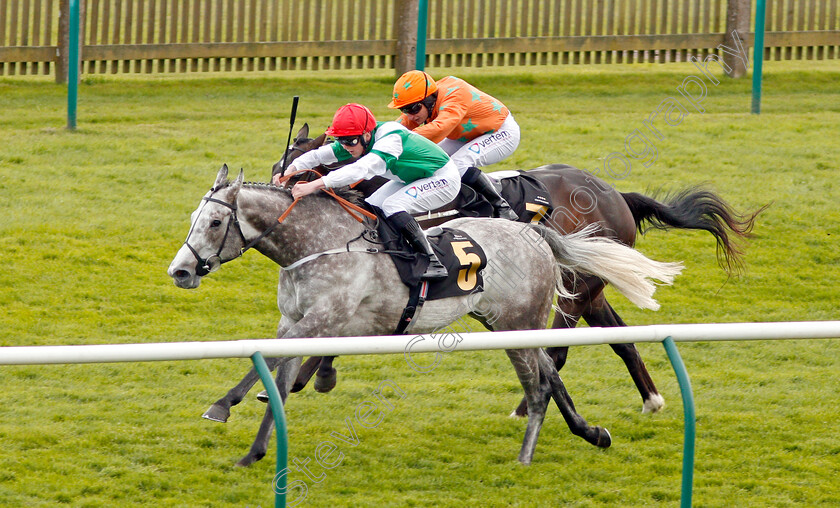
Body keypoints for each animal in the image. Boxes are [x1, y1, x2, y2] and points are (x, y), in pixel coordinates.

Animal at [166, 166, 684, 464]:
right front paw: (256, 450)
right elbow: (277, 372)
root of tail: (535, 234)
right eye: (192, 219)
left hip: (520, 319)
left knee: (547, 369)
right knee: (551, 369)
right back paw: (591, 432)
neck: (319, 244)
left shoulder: (321, 321)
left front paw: (223, 406)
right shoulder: (297, 323)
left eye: (216, 221)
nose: (180, 270)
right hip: (502, 321)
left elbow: (271, 364)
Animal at [272, 124, 764, 416]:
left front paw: (307, 374)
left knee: (557, 349)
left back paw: (527, 408)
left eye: (299, 168)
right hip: (588, 288)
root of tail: (616, 195)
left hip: (573, 287)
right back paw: (652, 398)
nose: (279, 188)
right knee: (619, 339)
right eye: (282, 166)